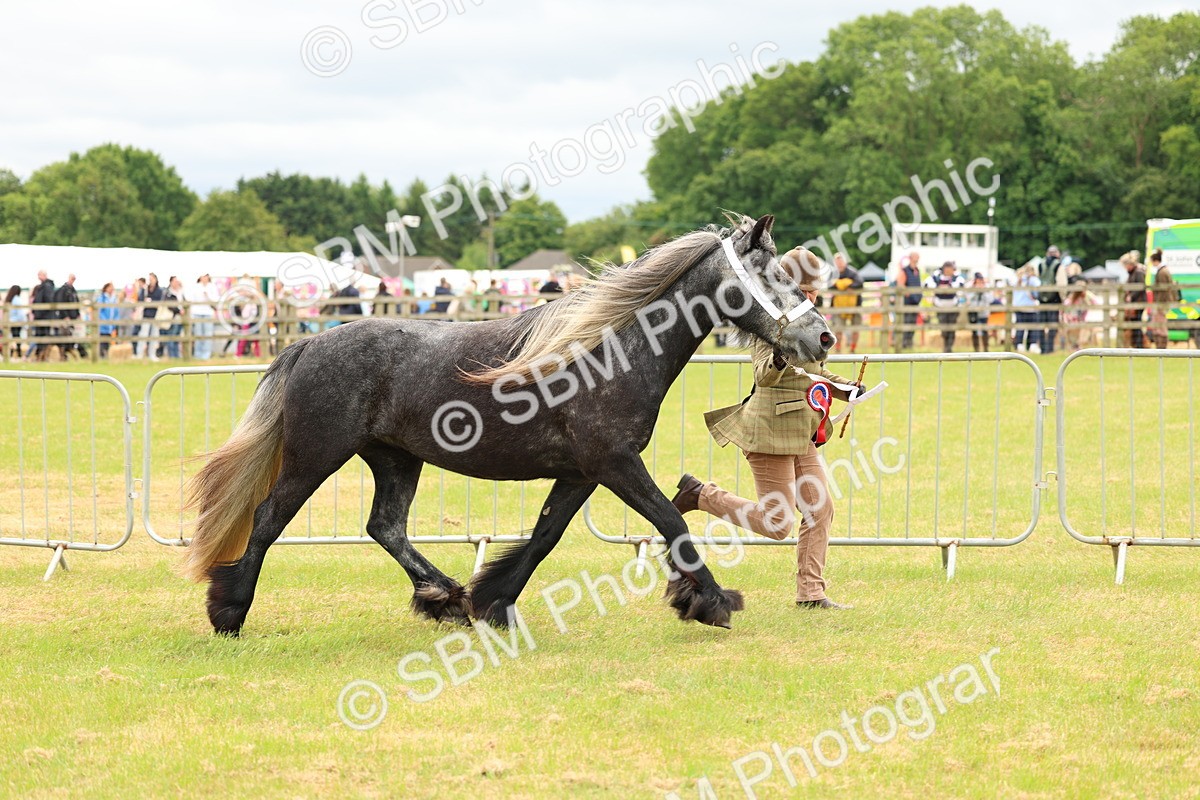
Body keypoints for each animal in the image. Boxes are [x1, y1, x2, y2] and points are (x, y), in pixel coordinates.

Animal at [184, 213, 835, 634]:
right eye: (773, 274)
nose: (822, 337)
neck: (611, 350)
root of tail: (308, 345)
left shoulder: (582, 473)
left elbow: (546, 537)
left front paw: (493, 602)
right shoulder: (615, 463)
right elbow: (672, 520)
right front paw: (713, 601)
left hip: (395, 458)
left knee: (385, 527)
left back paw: (445, 598)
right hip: (316, 456)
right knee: (269, 520)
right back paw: (229, 613)